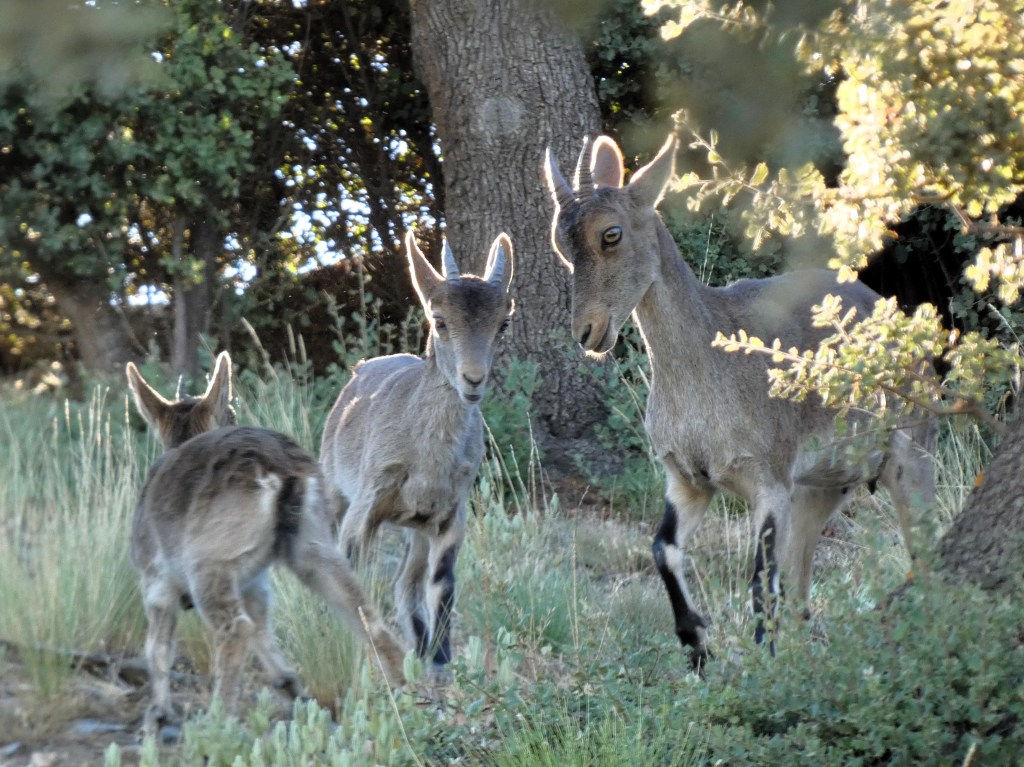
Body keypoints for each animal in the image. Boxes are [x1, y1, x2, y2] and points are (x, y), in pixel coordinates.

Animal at [127, 351, 406, 734]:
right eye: (230, 411)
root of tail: (280, 470)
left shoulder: (154, 577)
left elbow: (156, 646)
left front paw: (157, 713)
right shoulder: (254, 580)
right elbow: (263, 628)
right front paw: (290, 684)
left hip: (207, 561)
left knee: (235, 628)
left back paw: (217, 724)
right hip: (313, 543)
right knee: (367, 615)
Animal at [320, 230, 515, 671]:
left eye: (503, 323)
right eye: (439, 320)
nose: (473, 379)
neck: (427, 459)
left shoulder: (447, 515)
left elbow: (442, 585)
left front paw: (442, 662)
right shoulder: (366, 506)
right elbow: (351, 583)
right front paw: (363, 657)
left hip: (416, 527)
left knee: (405, 581)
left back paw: (423, 646)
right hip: (333, 486)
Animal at [544, 135, 935, 669]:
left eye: (611, 233)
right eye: (560, 243)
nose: (588, 331)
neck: (705, 376)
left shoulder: (767, 480)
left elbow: (759, 582)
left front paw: (760, 664)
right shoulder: (688, 480)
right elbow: (663, 550)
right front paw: (696, 643)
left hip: (907, 455)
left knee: (921, 547)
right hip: (819, 487)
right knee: (802, 579)